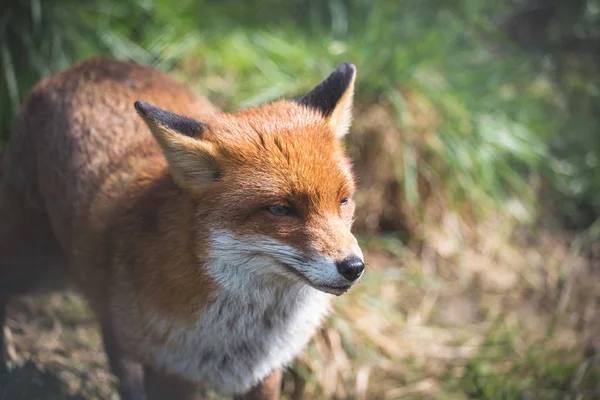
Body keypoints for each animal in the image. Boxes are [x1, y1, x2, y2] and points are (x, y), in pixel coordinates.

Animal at [0, 59, 364, 400]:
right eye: (280, 209)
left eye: (343, 201)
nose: (354, 267)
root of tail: (89, 64)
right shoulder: (170, 372)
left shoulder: (263, 374)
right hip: (31, 265)